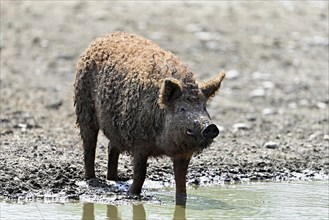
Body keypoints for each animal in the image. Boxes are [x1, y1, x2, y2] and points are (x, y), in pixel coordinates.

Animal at [73, 31, 224, 205]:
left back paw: (114, 180)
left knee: (112, 147)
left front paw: (181, 201)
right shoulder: (139, 144)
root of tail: (102, 37)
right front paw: (133, 195)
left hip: (115, 124)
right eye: (182, 108)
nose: (210, 127)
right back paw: (92, 180)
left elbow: (181, 179)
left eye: (204, 107)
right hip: (83, 106)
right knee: (89, 145)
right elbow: (140, 173)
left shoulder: (183, 155)